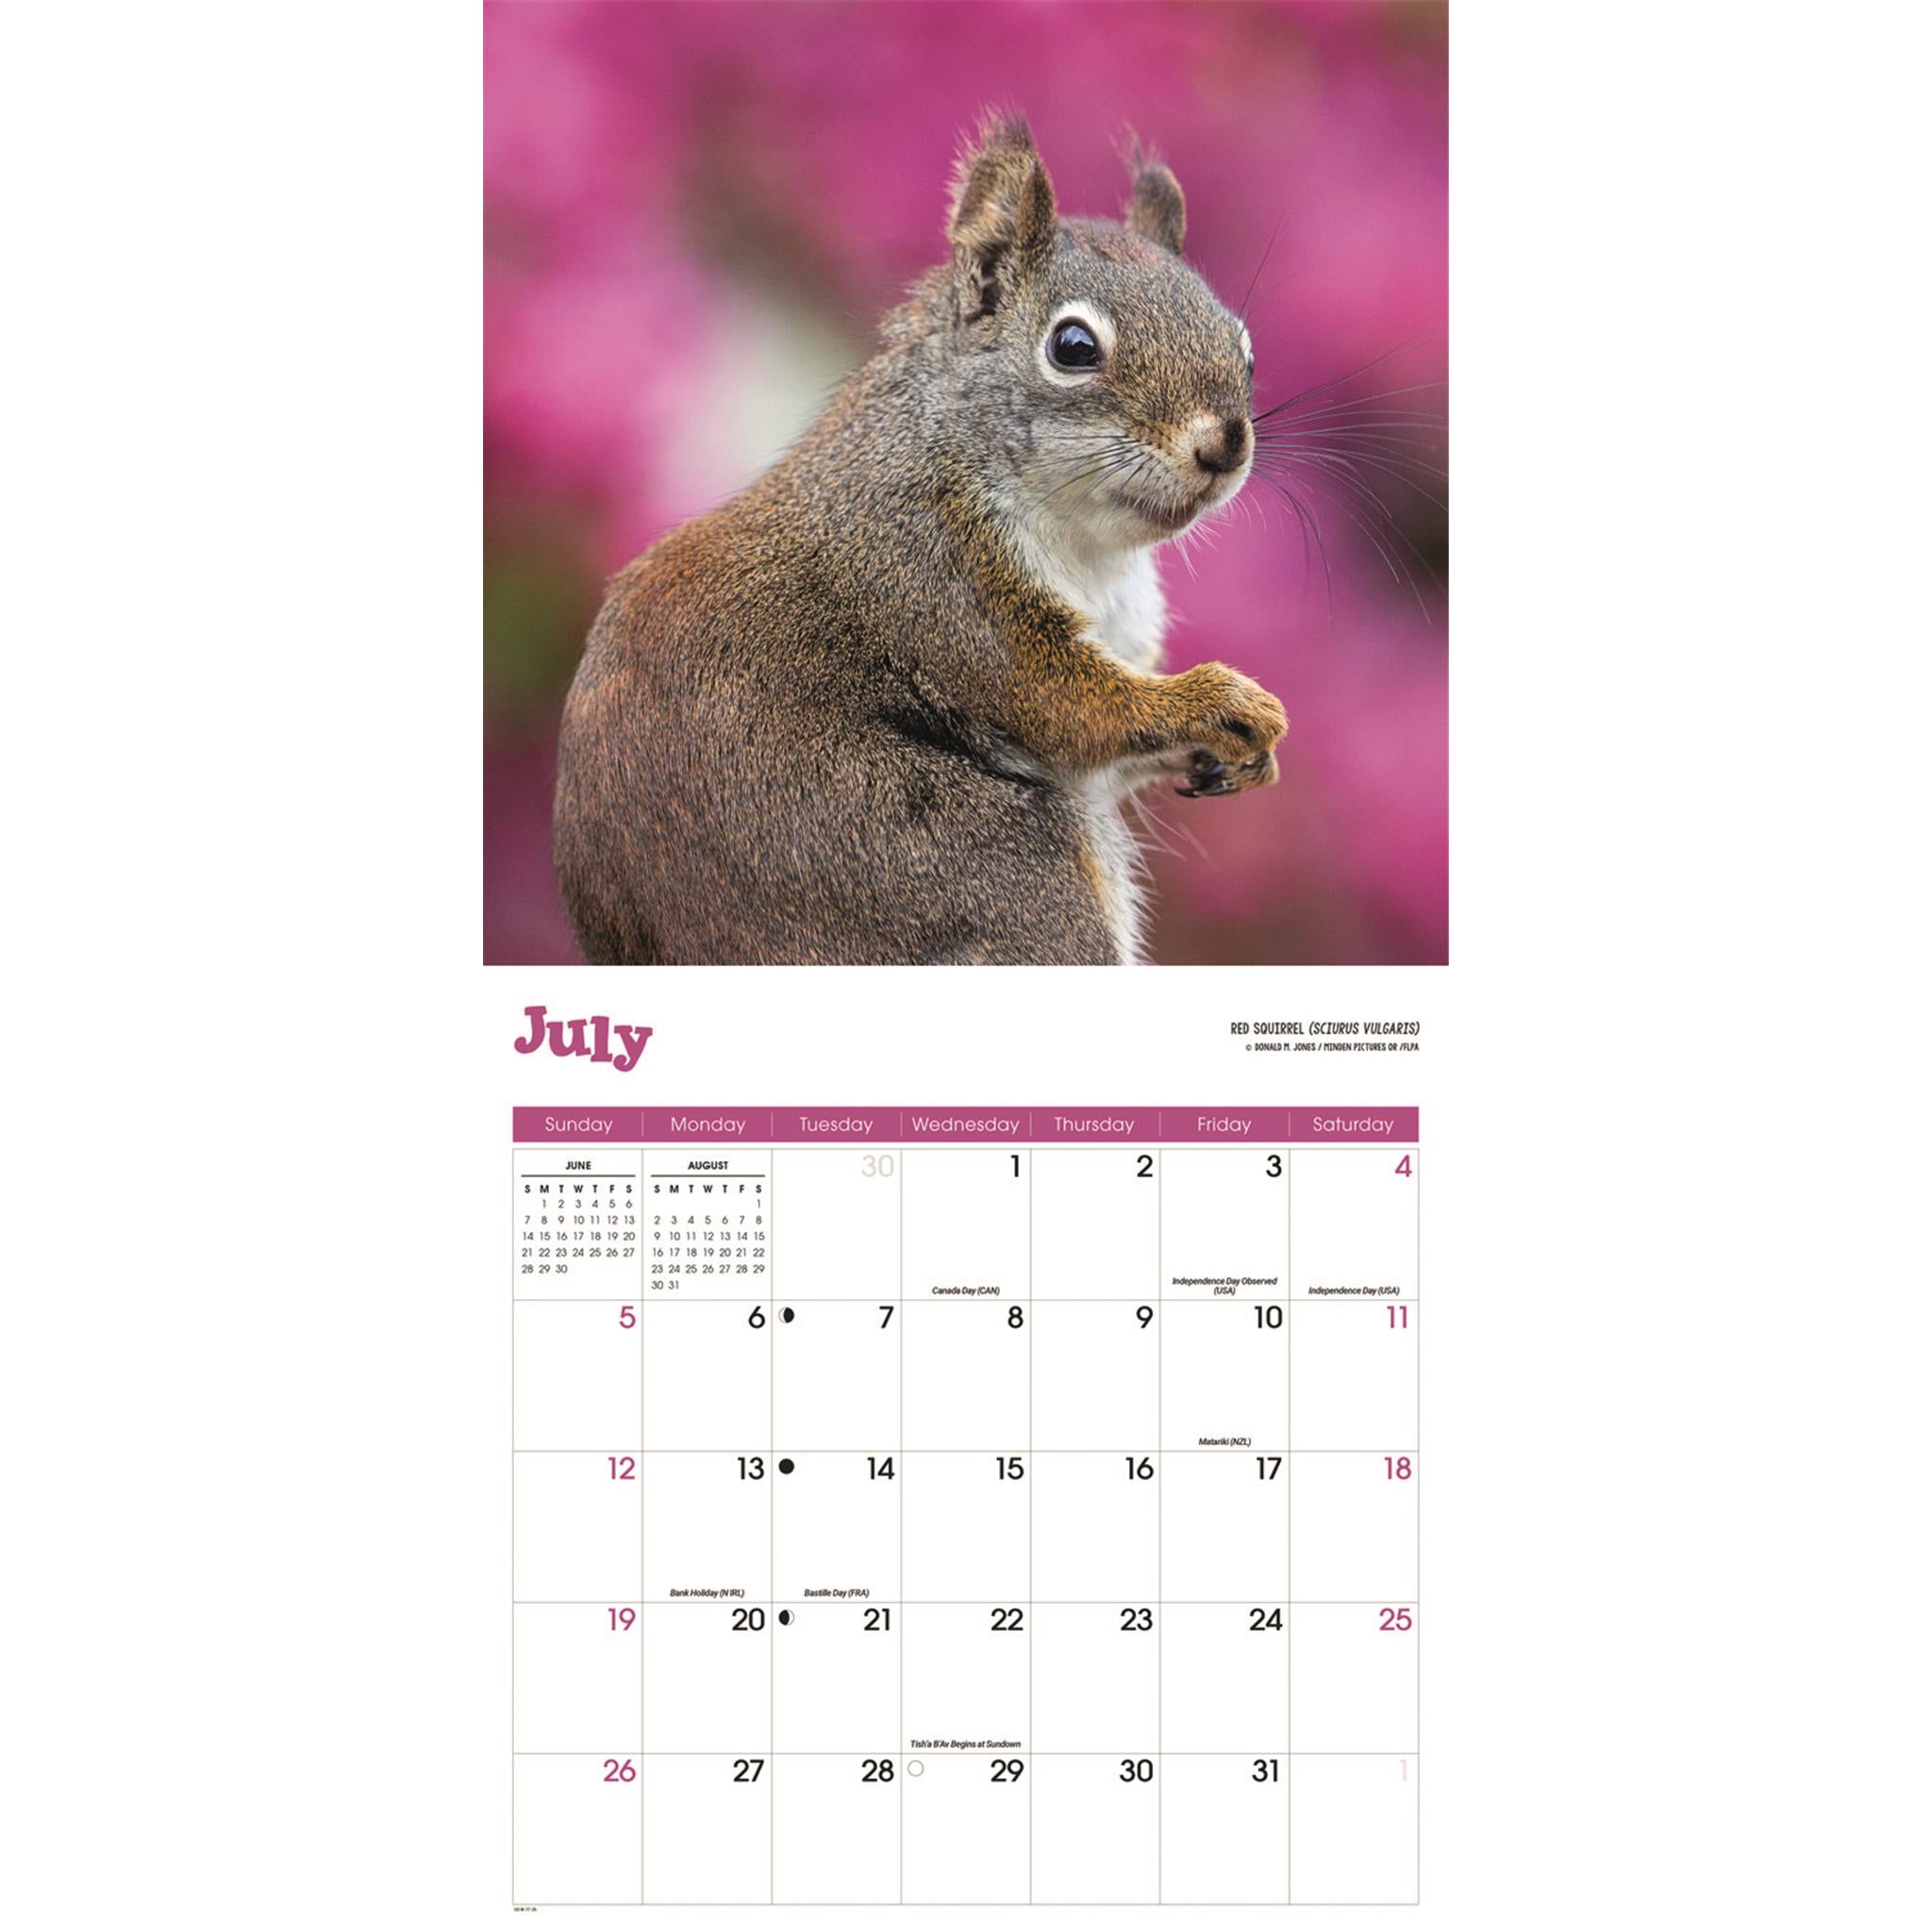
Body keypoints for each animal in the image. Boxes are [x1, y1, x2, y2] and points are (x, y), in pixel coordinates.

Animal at [554, 115, 1287, 965]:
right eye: (1073, 347)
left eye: (1246, 348)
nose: (1225, 443)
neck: (1088, 546)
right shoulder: (938, 575)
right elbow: (1064, 704)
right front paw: (1220, 702)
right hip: (968, 874)